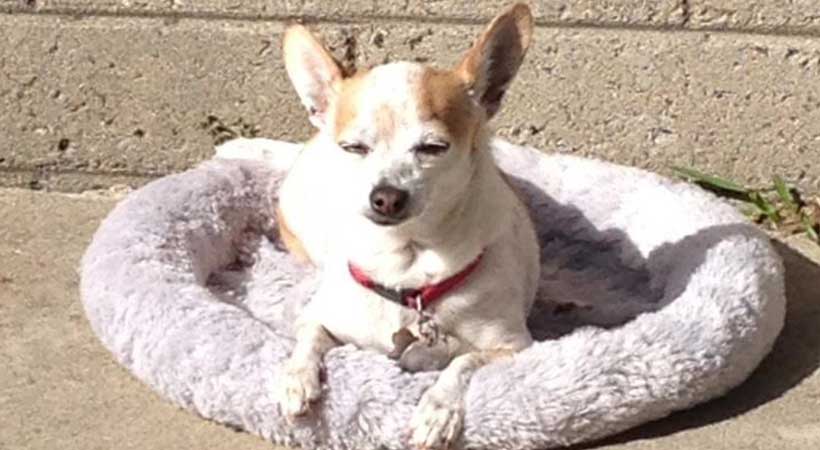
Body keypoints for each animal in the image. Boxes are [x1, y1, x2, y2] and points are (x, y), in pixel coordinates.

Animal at [227, 2, 540, 446]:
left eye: (433, 148)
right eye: (354, 148)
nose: (387, 195)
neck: (404, 265)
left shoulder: (514, 346)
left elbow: (461, 363)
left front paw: (437, 410)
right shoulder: (321, 316)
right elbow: (309, 336)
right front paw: (296, 379)